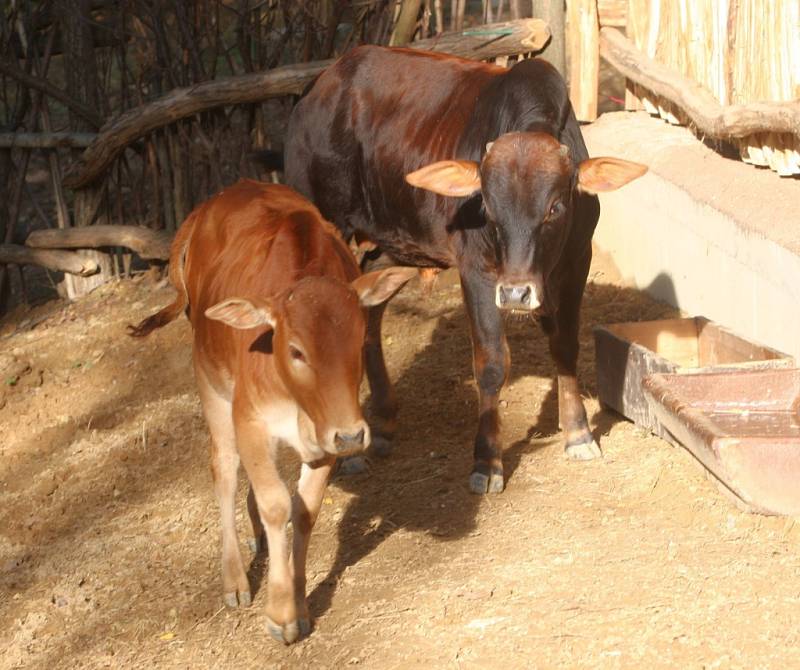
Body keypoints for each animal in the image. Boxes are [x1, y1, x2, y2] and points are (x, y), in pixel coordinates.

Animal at [128, 180, 416, 644]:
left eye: (359, 342)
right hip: (211, 383)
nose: (353, 437)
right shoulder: (251, 421)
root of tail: (206, 207)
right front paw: (280, 612)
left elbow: (303, 510)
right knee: (225, 471)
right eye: (296, 350)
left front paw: (298, 602)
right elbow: (277, 504)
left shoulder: (324, 434)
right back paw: (234, 578)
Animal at [284, 46, 648, 494]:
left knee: (368, 310)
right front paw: (487, 462)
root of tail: (320, 86)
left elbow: (565, 346)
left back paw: (383, 421)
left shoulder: (577, 261)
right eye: (488, 205)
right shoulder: (477, 272)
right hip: (325, 223)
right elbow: (491, 363)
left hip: (392, 241)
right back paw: (347, 455)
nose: (516, 293)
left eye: (555, 207)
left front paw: (578, 433)